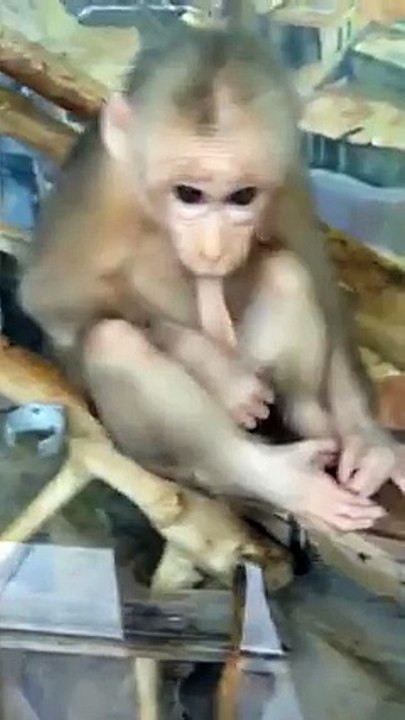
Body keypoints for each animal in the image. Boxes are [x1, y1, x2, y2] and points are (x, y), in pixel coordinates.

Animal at [19, 26, 403, 532]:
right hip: (146, 449)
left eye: (242, 196)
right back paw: (270, 474)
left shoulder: (288, 177)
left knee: (288, 272)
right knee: (112, 342)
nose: (214, 248)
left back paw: (310, 420)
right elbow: (48, 296)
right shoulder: (102, 185)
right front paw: (208, 365)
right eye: (188, 193)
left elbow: (317, 273)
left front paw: (368, 439)